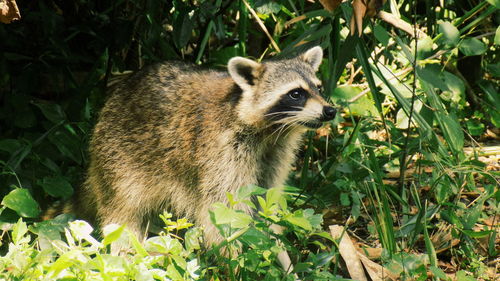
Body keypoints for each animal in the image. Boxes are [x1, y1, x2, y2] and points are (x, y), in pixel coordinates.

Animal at [77, 45, 336, 256]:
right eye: (296, 93)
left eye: (319, 88)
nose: (330, 111)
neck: (271, 131)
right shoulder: (221, 153)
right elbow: (222, 213)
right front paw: (233, 259)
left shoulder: (274, 154)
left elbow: (266, 199)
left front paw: (279, 250)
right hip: (118, 158)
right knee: (122, 214)